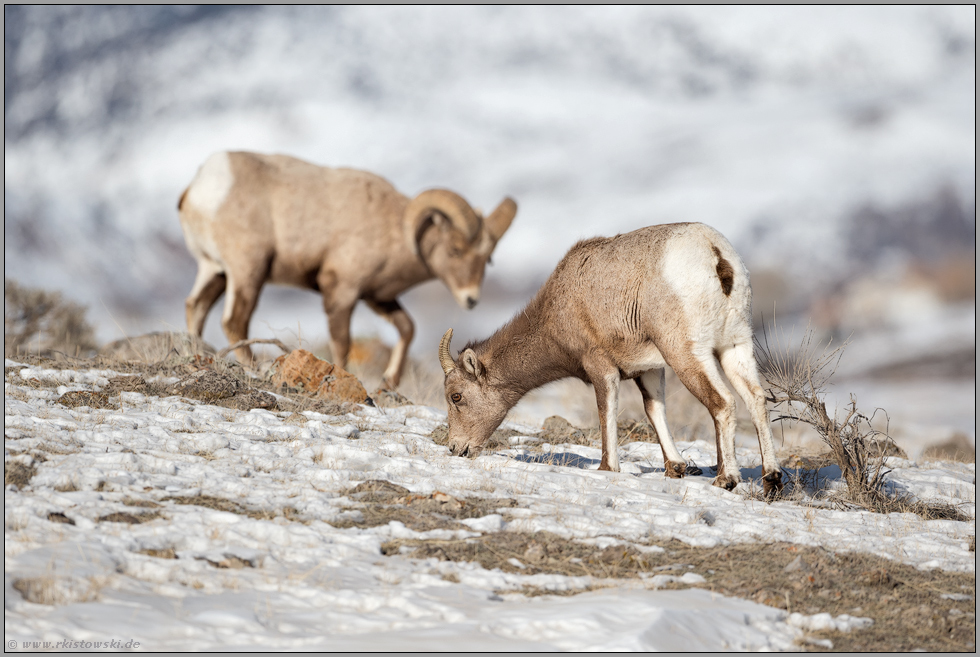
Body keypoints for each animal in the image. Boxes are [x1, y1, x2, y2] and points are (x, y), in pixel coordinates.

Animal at [440, 223, 784, 494]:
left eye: (456, 396)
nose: (456, 448)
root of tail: (716, 255)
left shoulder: (601, 367)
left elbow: (607, 411)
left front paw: (607, 468)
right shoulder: (649, 369)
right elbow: (654, 409)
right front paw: (675, 467)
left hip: (687, 354)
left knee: (722, 402)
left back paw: (726, 479)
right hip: (735, 347)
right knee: (755, 398)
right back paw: (771, 478)